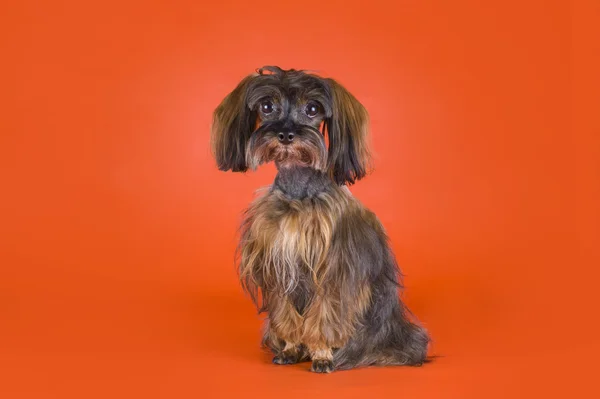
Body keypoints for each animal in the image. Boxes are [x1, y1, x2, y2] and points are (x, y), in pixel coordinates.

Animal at [210, 66, 426, 376]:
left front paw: (322, 355)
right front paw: (290, 349)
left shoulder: (332, 270)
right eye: (267, 106)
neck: (299, 194)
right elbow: (286, 314)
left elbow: (324, 317)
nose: (286, 134)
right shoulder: (279, 265)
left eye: (312, 108)